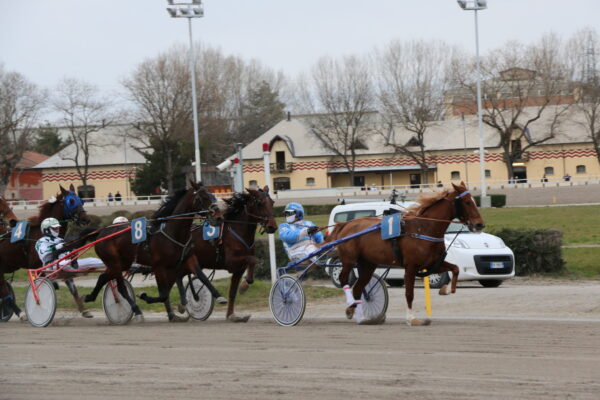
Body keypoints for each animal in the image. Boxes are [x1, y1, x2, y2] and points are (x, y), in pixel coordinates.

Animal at [0, 184, 90, 318]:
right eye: (71, 201)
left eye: (80, 200)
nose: (86, 219)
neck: (44, 234)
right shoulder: (37, 266)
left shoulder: (57, 262)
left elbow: (71, 285)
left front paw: (84, 310)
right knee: (3, 290)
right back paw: (20, 313)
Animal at [84, 181, 223, 322]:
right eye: (204, 198)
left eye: (213, 196)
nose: (219, 218)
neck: (173, 233)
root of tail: (101, 233)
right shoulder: (158, 266)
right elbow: (163, 294)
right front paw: (144, 296)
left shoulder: (188, 259)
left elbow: (202, 277)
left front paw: (219, 296)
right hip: (114, 262)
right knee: (121, 288)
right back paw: (136, 310)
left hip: (122, 263)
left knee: (103, 277)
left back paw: (90, 297)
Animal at [185, 187, 278, 322]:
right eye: (259, 203)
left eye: (272, 202)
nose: (272, 227)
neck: (238, 230)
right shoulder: (231, 262)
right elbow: (253, 259)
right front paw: (244, 286)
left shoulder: (239, 268)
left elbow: (233, 291)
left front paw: (231, 315)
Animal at [326, 183, 486, 326]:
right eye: (467, 202)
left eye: (474, 201)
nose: (479, 224)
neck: (424, 229)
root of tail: (345, 224)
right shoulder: (411, 267)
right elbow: (409, 293)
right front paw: (411, 318)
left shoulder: (433, 263)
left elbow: (456, 269)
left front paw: (445, 289)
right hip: (349, 260)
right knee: (344, 279)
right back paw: (350, 307)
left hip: (368, 264)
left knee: (358, 288)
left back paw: (361, 317)